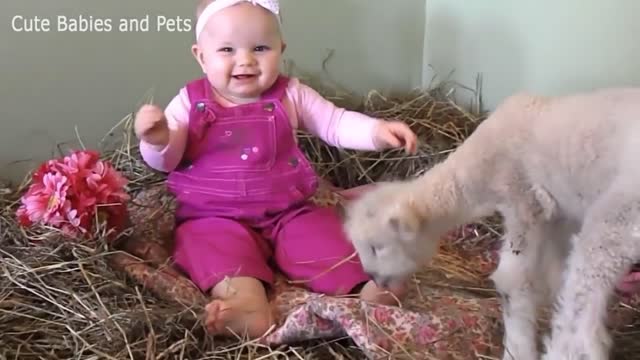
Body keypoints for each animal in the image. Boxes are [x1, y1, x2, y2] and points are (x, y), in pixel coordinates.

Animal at [344, 88, 640, 360]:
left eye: (378, 246)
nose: (374, 278)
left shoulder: (522, 199)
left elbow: (513, 280)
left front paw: (518, 350)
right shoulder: (558, 216)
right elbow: (556, 274)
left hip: (618, 217)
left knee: (581, 314)